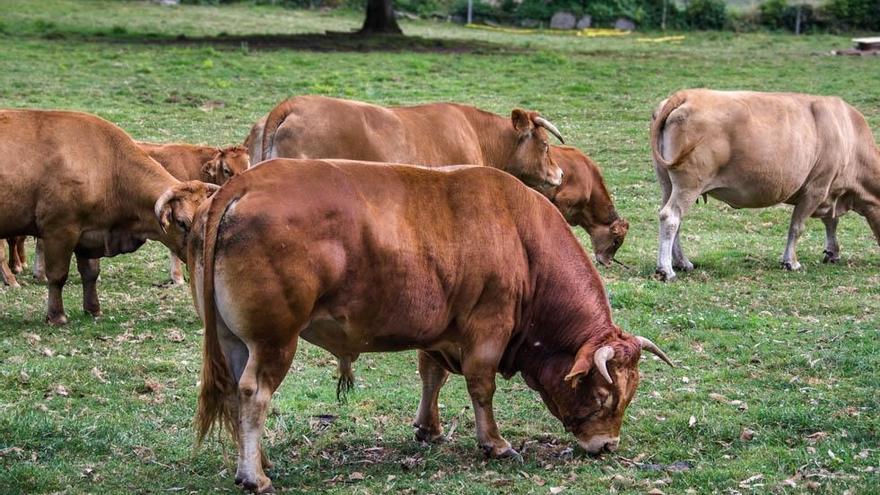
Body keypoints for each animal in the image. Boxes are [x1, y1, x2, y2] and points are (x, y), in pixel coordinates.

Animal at [0, 109, 218, 326]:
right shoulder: (60, 231)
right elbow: (57, 276)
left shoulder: (90, 231)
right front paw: (57, 316)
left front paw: (93, 309)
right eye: (182, 223)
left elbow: (90, 273)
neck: (108, 166)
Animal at [177, 161, 672, 494]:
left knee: (236, 395)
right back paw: (254, 475)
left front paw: (428, 429)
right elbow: (481, 387)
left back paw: (258, 460)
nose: (607, 445)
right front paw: (494, 443)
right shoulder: (488, 328)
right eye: (604, 395)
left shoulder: (440, 330)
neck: (522, 238)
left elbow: (430, 375)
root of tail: (244, 182)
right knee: (253, 394)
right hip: (273, 340)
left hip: (233, 340)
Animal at [648, 90, 880, 280]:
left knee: (673, 217)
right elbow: (797, 226)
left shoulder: (830, 191)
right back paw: (666, 270)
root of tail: (685, 94)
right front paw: (791, 262)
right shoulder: (816, 188)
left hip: (667, 182)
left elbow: (831, 222)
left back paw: (682, 262)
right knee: (671, 217)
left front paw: (832, 252)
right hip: (689, 182)